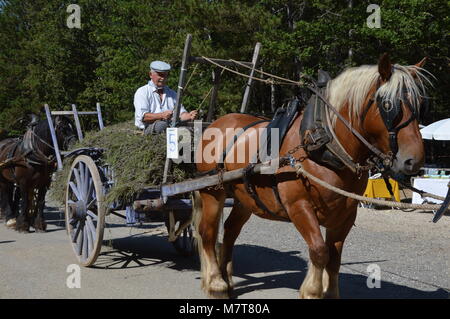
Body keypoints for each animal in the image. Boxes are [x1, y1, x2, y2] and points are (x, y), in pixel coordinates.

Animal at [193, 53, 432, 298]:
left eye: (420, 104)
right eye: (387, 105)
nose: (413, 160)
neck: (323, 145)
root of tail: (218, 122)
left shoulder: (346, 214)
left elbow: (334, 258)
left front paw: (330, 292)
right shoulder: (299, 206)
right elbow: (319, 251)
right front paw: (312, 291)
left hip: (245, 198)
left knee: (230, 231)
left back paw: (227, 279)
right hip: (213, 192)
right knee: (207, 233)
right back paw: (216, 283)